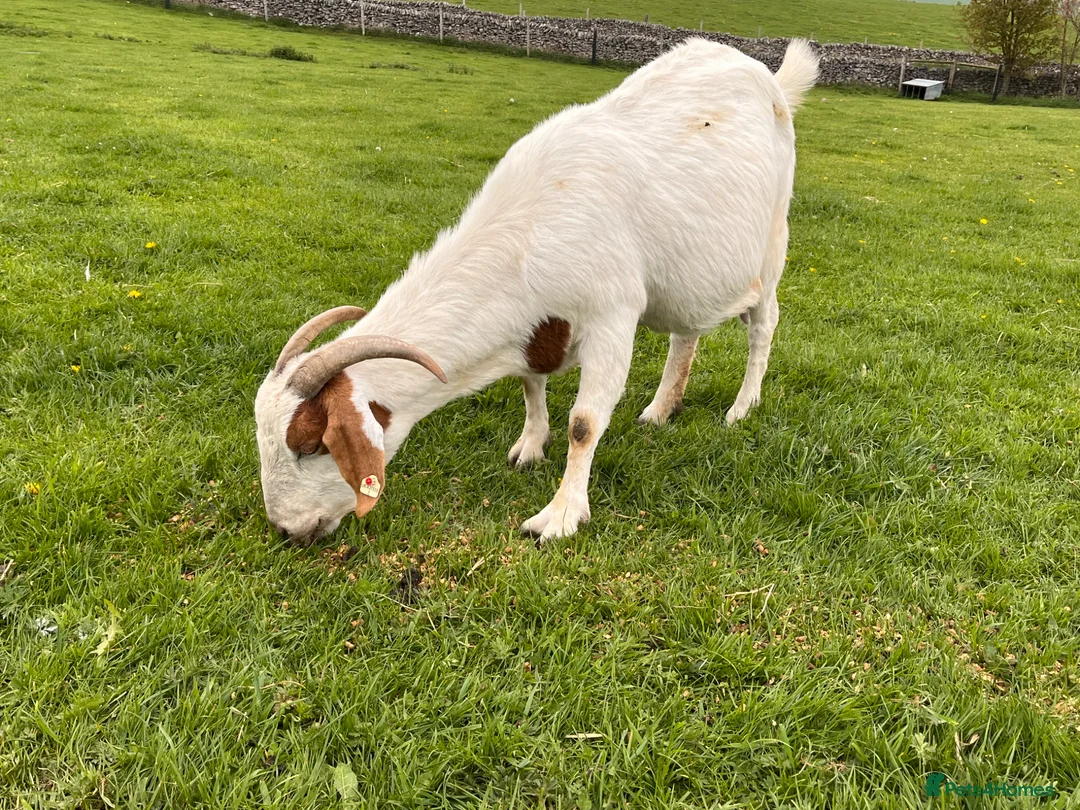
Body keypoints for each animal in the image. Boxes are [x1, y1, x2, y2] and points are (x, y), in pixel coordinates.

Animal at [255, 38, 819, 545]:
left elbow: (585, 424)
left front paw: (560, 516)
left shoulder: (612, 316)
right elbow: (530, 384)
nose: (287, 530)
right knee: (686, 334)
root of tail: (771, 79)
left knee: (764, 325)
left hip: (772, 246)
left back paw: (742, 408)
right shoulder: (536, 326)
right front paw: (529, 447)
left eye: (311, 444)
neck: (529, 229)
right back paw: (659, 412)